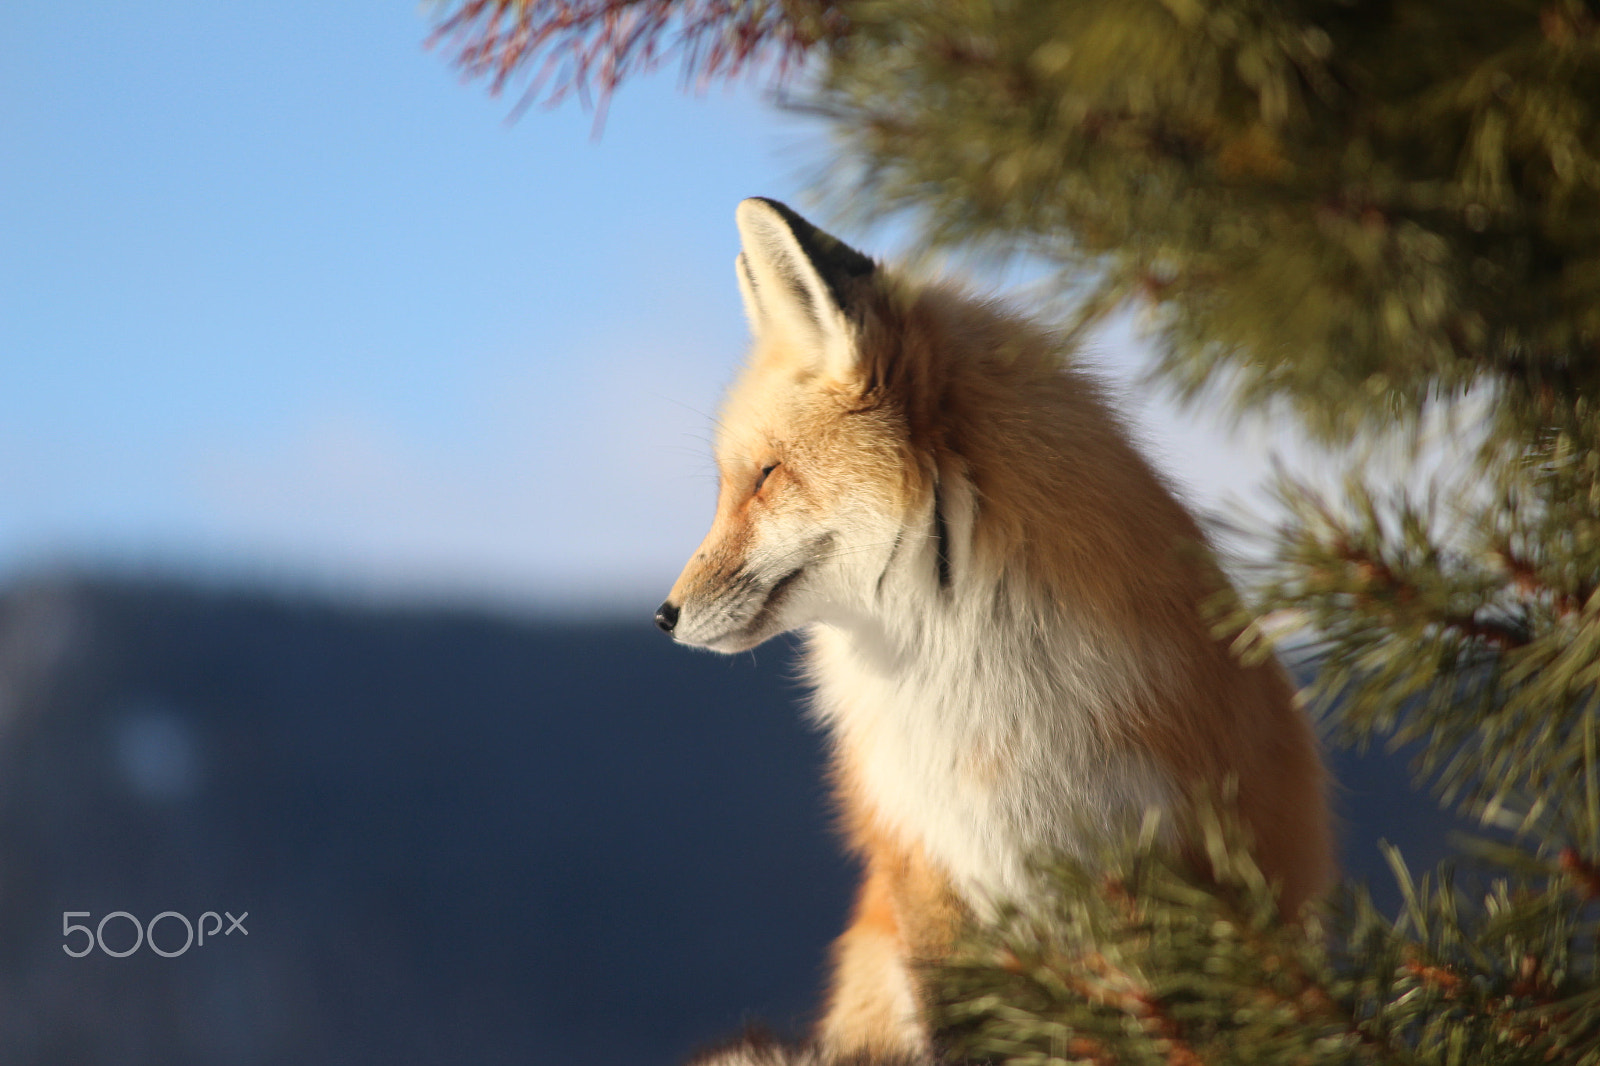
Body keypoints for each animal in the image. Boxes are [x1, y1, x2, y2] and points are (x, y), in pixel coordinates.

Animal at [655, 198, 1333, 1062]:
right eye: (730, 484)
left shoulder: (1158, 867)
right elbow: (962, 1027)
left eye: (765, 477)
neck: (973, 688)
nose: (663, 615)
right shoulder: (933, 865)